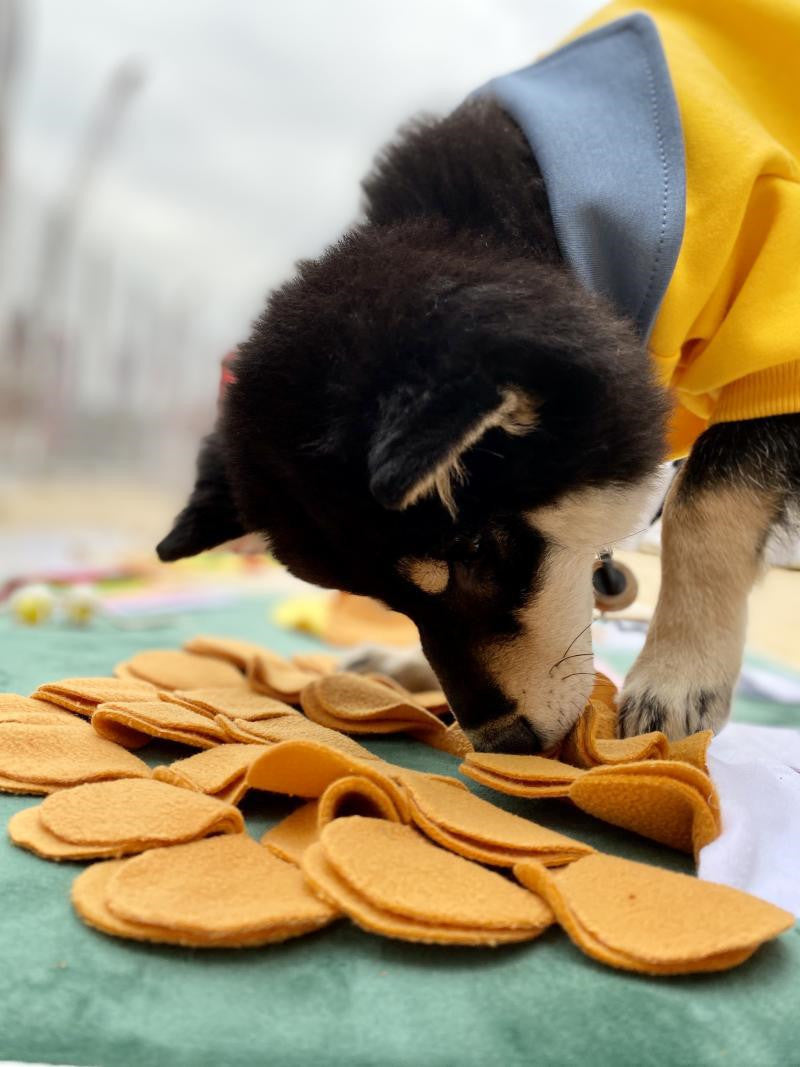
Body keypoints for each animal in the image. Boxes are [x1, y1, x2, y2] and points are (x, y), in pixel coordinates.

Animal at [156, 2, 800, 751]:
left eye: (473, 549)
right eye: (388, 601)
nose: (503, 740)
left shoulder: (776, 334)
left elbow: (702, 509)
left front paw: (676, 675)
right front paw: (407, 666)